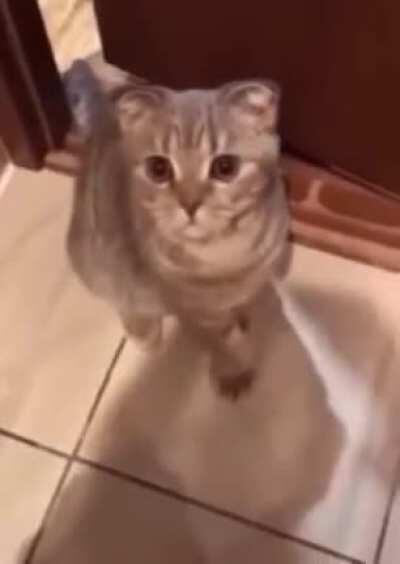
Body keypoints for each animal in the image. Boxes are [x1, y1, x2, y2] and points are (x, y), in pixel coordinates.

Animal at [65, 59, 291, 399]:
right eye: (158, 169)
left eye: (225, 167)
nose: (190, 204)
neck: (225, 253)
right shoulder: (191, 309)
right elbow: (221, 341)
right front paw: (233, 370)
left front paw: (240, 316)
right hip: (96, 259)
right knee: (121, 298)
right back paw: (143, 330)